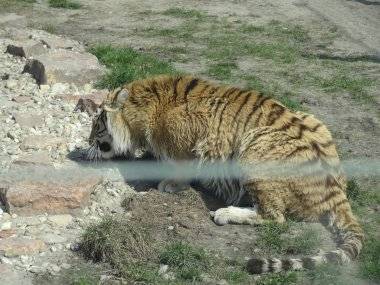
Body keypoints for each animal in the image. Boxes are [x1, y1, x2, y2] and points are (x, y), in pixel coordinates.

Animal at [86, 75, 362, 272]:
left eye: (96, 123)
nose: (87, 141)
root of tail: (337, 190)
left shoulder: (187, 141)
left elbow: (181, 167)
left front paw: (170, 184)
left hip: (254, 147)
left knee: (273, 216)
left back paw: (224, 213)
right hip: (310, 119)